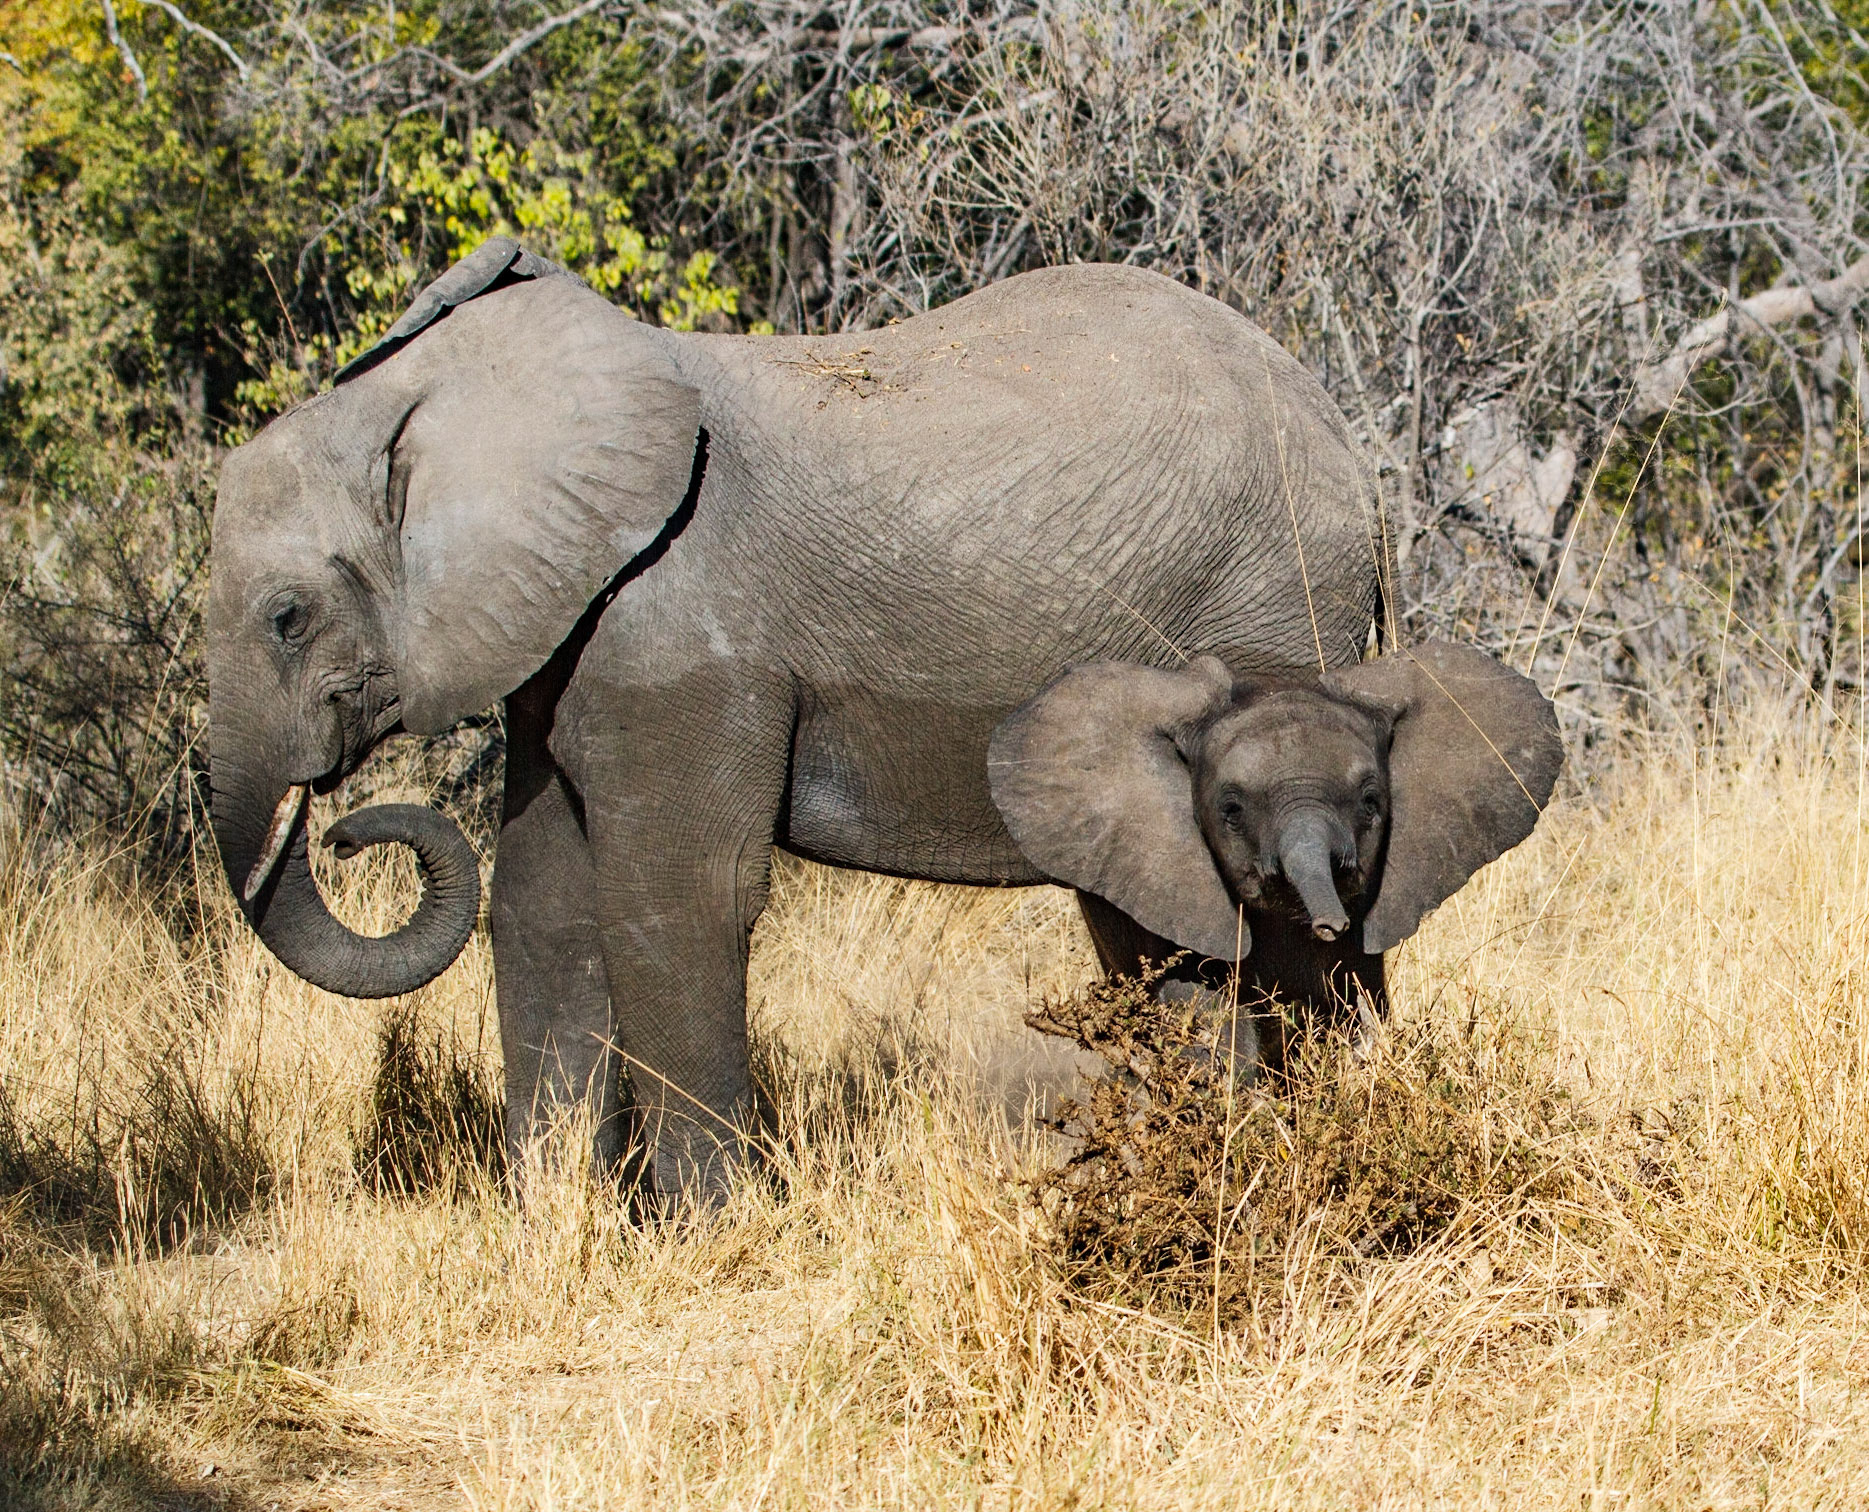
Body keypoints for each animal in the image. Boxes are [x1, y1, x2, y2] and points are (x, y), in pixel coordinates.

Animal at [207, 233, 1524, 1201]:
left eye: (285, 616)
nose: (342, 826)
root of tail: (1355, 455)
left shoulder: (686, 630)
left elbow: (676, 898)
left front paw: (715, 1236)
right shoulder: (578, 630)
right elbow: (543, 903)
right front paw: (554, 1228)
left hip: (1270, 607)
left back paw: (1328, 1142)